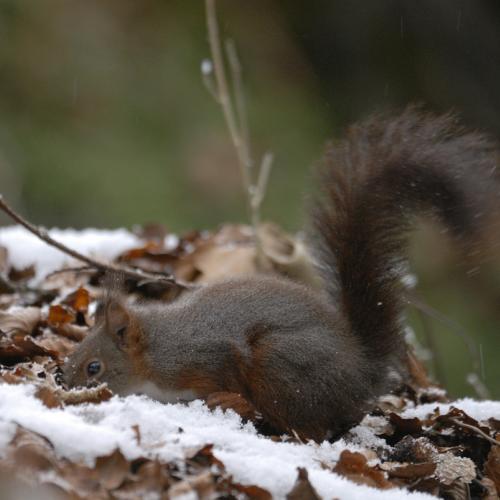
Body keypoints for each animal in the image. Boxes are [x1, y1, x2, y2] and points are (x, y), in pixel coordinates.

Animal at [62, 108, 500, 442]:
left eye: (94, 368)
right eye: (73, 353)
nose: (65, 386)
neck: (157, 348)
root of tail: (361, 372)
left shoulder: (209, 355)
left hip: (280, 363)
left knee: (301, 423)